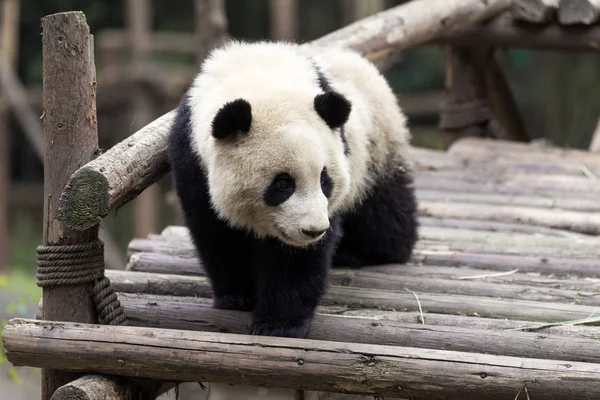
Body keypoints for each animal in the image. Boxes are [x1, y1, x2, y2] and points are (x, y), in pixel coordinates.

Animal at [166, 40, 414, 340]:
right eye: (283, 184)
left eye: (324, 180)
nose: (314, 230)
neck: (259, 76)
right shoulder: (190, 155)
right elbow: (216, 231)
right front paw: (237, 295)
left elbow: (295, 258)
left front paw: (280, 323)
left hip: (375, 146)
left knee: (382, 214)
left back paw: (366, 251)